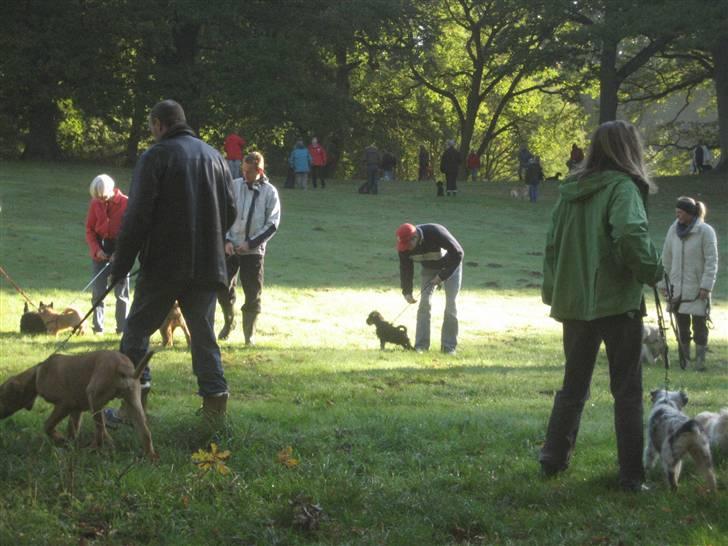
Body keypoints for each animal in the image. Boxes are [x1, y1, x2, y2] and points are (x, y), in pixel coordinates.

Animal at [0, 348, 158, 460]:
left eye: (2, 396)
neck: (38, 373)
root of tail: (123, 366)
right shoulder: (76, 409)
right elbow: (72, 429)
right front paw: (69, 445)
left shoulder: (65, 404)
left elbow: (48, 425)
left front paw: (60, 439)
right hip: (133, 402)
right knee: (145, 433)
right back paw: (150, 457)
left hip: (94, 398)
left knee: (100, 431)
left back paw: (94, 449)